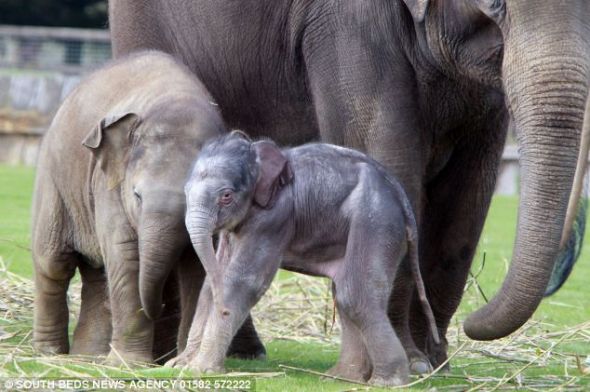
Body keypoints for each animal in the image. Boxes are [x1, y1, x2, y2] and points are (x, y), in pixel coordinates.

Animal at [31, 50, 264, 362]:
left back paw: (89, 357)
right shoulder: (110, 186)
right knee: (53, 264)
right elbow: (126, 255)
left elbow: (201, 264)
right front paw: (129, 364)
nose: (160, 308)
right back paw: (50, 354)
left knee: (97, 274)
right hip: (53, 185)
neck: (177, 102)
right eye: (137, 195)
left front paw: (179, 361)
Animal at [169, 132, 442, 386]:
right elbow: (212, 283)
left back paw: (385, 383)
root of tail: (400, 194)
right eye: (185, 191)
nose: (224, 310)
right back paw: (342, 377)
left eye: (226, 196)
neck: (257, 155)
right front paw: (179, 365)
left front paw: (199, 370)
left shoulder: (274, 217)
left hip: (376, 221)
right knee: (343, 293)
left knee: (354, 294)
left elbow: (243, 282)